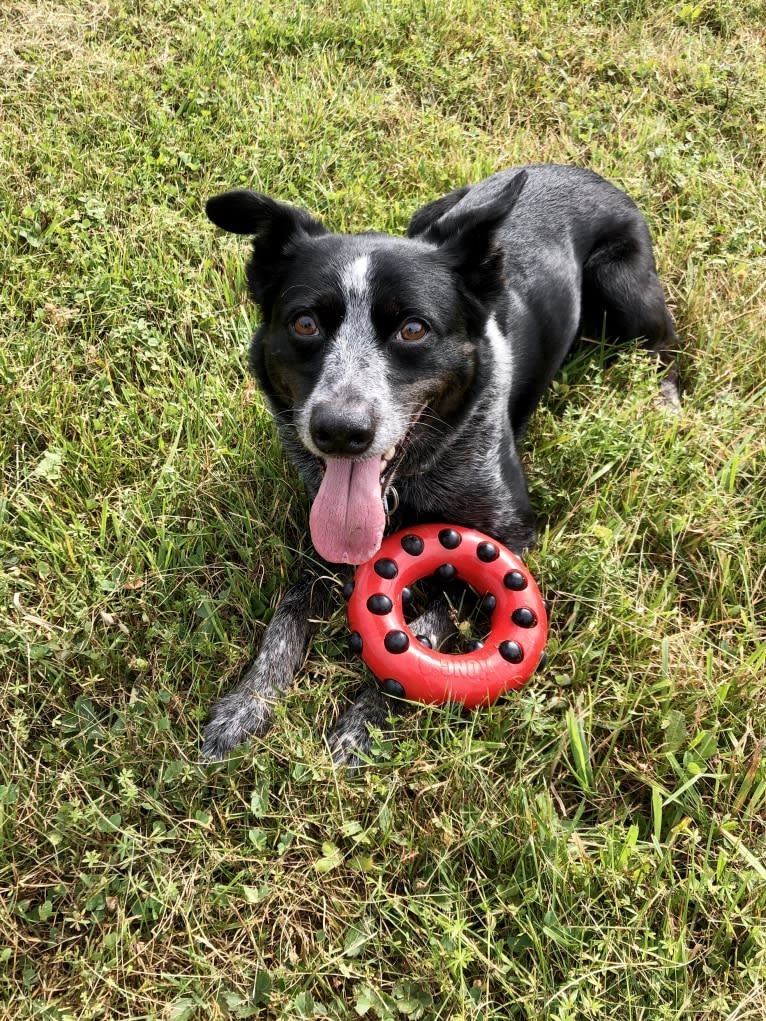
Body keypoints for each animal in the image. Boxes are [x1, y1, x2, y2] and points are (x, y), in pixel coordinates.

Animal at [201, 163, 682, 763]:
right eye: (305, 323)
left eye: (413, 329)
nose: (339, 431)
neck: (408, 484)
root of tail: (580, 169)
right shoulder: (324, 536)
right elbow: (287, 616)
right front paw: (247, 705)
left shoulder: (512, 534)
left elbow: (431, 621)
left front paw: (366, 719)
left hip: (627, 291)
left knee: (667, 344)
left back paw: (666, 402)